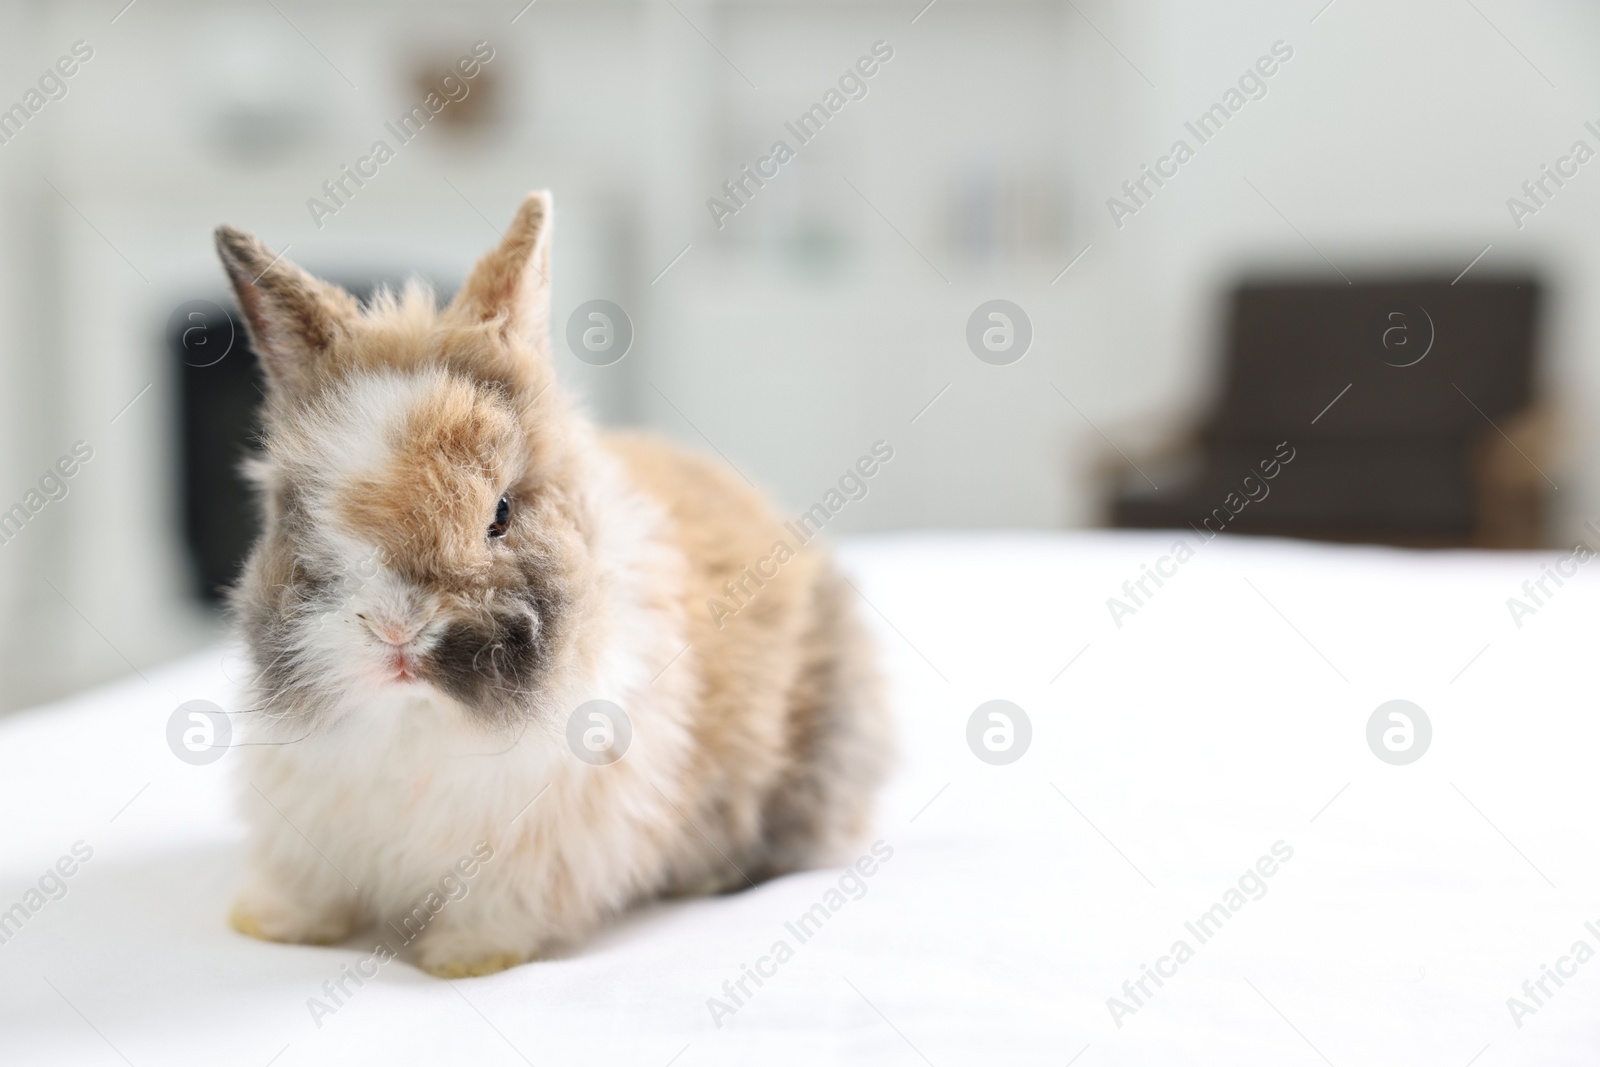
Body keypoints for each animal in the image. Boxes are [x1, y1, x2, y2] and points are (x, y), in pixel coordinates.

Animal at [214, 191, 896, 979]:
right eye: (302, 513)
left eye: (501, 513)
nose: (397, 632)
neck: (417, 719)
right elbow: (308, 886)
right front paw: (274, 926)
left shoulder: (539, 845)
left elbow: (497, 909)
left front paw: (461, 960)